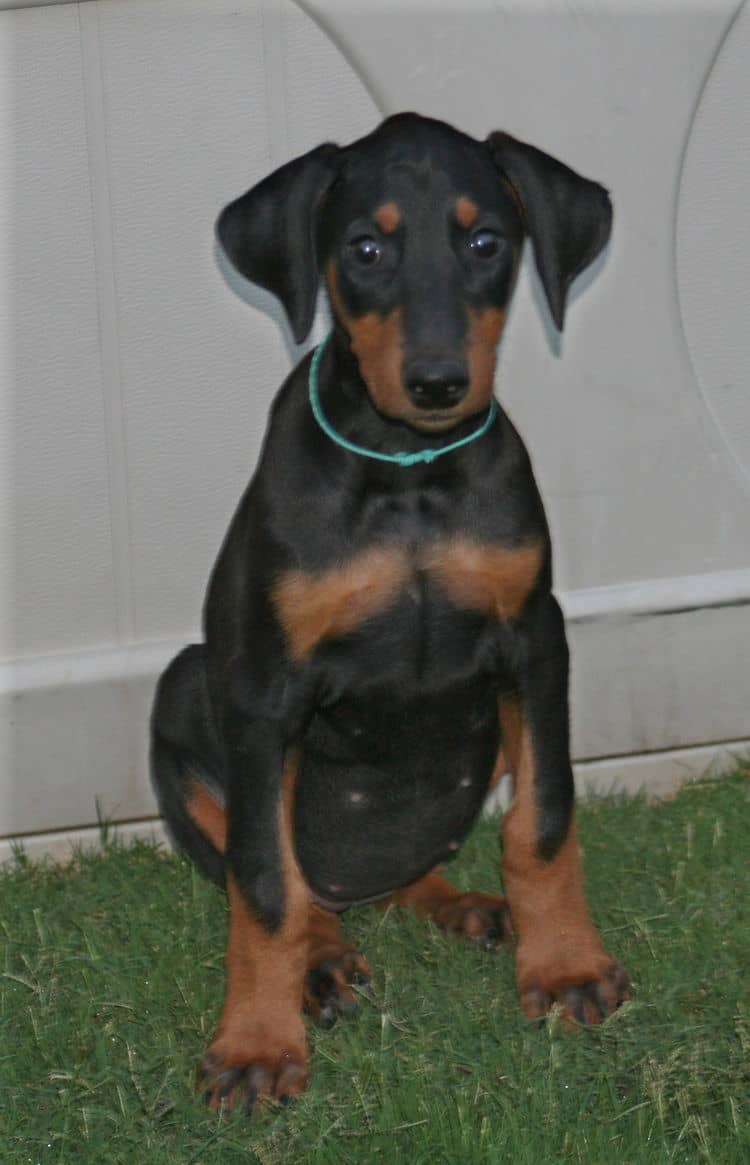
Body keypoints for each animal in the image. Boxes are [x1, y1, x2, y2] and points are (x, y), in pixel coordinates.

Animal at [152, 113, 633, 1113]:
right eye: (364, 250)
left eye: (486, 243)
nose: (439, 383)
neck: (408, 469)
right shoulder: (265, 687)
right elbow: (263, 879)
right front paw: (255, 1044)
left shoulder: (536, 640)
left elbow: (543, 818)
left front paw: (565, 965)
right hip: (185, 689)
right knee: (297, 884)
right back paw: (322, 962)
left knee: (392, 875)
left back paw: (461, 903)